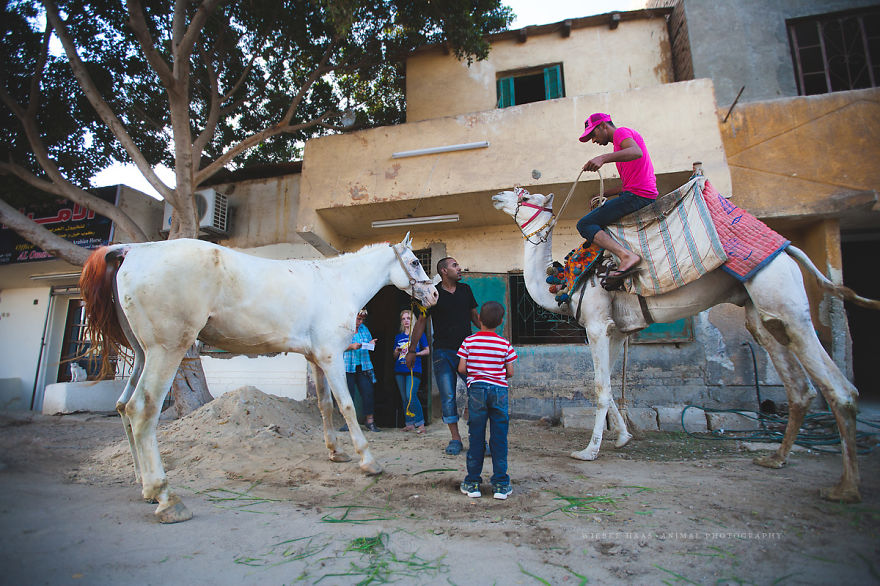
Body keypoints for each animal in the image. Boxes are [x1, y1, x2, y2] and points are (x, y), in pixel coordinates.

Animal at [80, 235, 438, 523]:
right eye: (415, 261)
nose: (433, 296)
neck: (336, 283)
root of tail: (131, 250)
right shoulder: (332, 357)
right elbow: (347, 407)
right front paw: (368, 461)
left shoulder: (316, 358)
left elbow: (324, 406)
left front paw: (336, 453)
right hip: (166, 351)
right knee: (142, 410)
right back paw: (166, 498)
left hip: (142, 354)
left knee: (124, 406)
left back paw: (145, 487)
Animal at [492, 188, 879, 503]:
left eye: (525, 194)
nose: (497, 196)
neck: (568, 283)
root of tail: (787, 248)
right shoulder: (616, 331)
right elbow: (609, 386)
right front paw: (623, 438)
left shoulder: (597, 325)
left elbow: (600, 388)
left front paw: (589, 451)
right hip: (762, 313)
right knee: (798, 386)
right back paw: (775, 458)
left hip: (784, 299)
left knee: (839, 388)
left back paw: (844, 488)